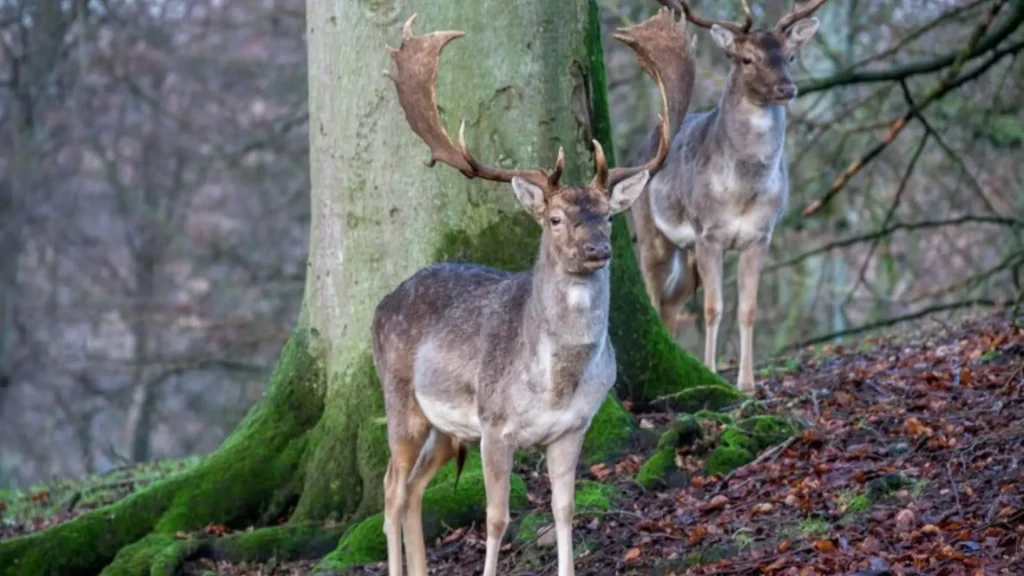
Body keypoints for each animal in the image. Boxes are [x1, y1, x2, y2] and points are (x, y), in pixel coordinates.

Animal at [374, 10, 692, 576]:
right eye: (556, 218)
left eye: (607, 215)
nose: (598, 249)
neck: (553, 383)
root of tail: (378, 308)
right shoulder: (494, 426)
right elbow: (496, 518)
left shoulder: (572, 428)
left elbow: (565, 510)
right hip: (400, 399)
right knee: (389, 486)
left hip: (445, 428)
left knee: (411, 490)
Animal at [630, 0, 827, 392]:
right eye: (747, 58)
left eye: (791, 55)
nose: (787, 87)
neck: (741, 191)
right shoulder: (708, 233)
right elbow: (713, 308)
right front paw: (709, 372)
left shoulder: (760, 236)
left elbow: (747, 309)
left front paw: (747, 384)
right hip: (652, 233)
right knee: (655, 296)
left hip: (687, 253)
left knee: (672, 302)